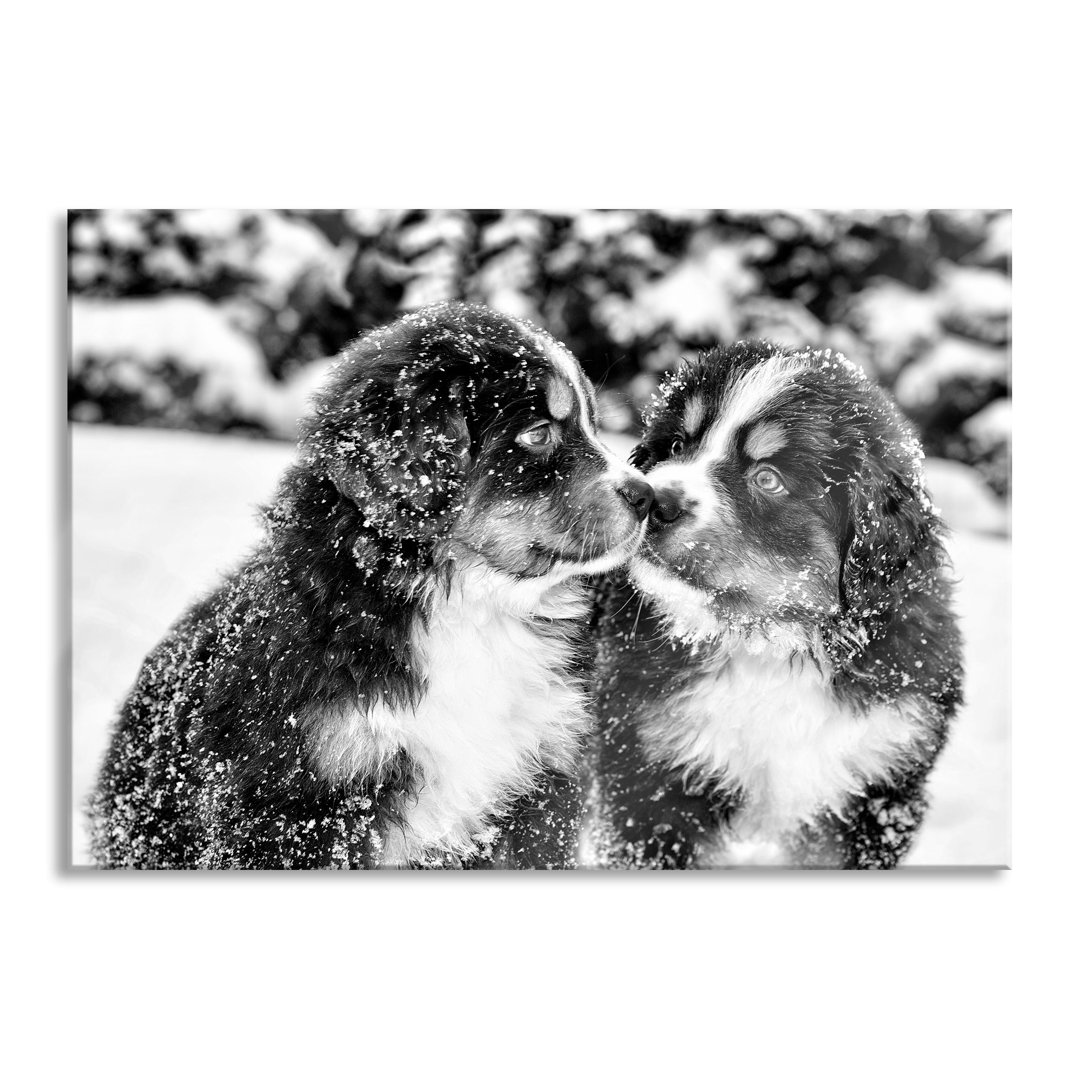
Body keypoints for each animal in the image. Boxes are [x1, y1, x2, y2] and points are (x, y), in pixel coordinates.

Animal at [90, 302, 648, 868]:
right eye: (537, 433)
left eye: (593, 423)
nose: (646, 495)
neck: (471, 608)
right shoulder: (300, 804)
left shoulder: (539, 787)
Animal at [591, 341, 963, 864]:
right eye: (677, 446)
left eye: (768, 479)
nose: (653, 501)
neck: (768, 647)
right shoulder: (651, 783)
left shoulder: (877, 791)